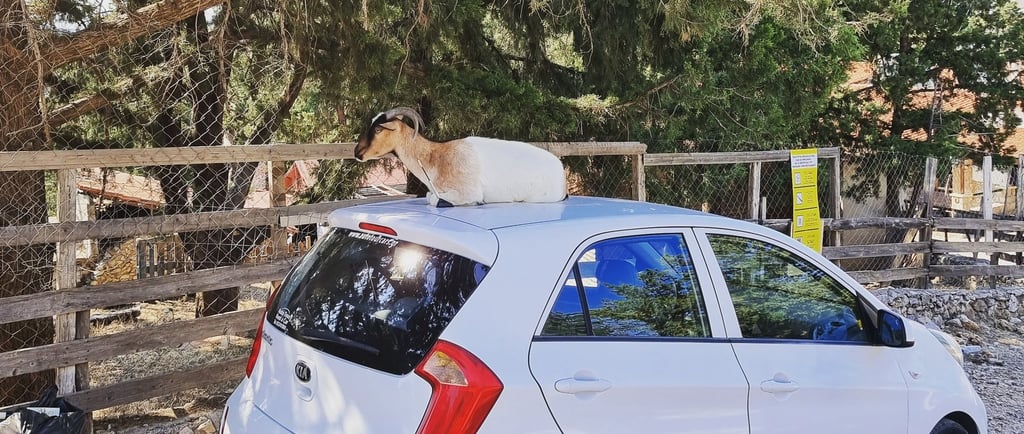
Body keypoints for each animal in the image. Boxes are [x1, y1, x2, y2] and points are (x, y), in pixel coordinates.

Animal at [354, 107, 568, 207]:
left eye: (379, 129)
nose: (357, 152)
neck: (437, 157)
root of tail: (559, 170)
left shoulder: (468, 192)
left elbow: (434, 198)